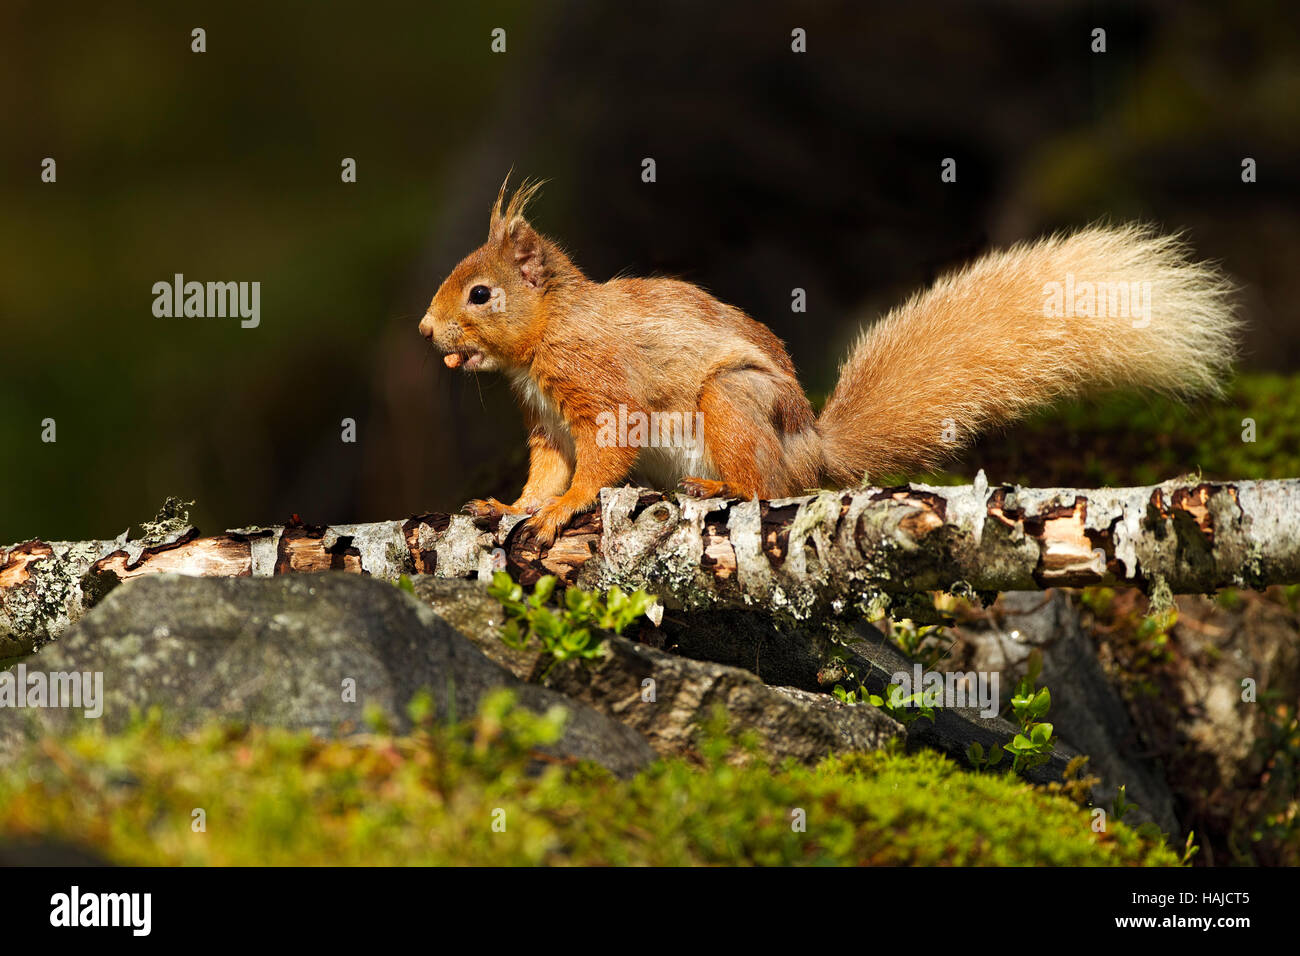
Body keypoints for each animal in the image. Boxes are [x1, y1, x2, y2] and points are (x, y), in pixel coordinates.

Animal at [418, 178, 1237, 546]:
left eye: (481, 292)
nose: (427, 330)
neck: (547, 335)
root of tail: (812, 449)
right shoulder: (547, 423)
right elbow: (546, 471)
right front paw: (510, 507)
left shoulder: (601, 389)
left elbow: (596, 466)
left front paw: (560, 512)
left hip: (730, 405)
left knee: (767, 487)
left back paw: (721, 486)